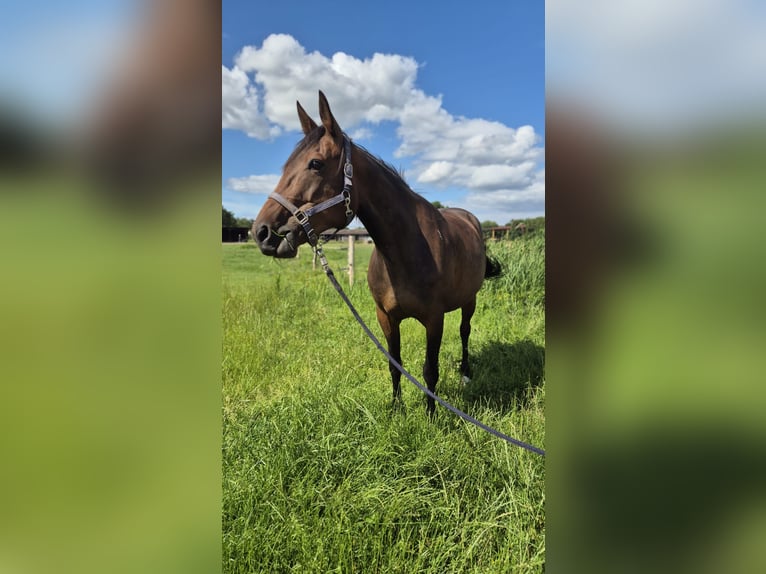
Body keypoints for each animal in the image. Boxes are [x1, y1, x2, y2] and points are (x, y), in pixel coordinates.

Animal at [254, 91, 504, 414]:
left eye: (315, 163)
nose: (261, 232)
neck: (407, 252)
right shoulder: (385, 316)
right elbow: (394, 364)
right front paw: (396, 408)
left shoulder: (434, 319)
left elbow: (430, 370)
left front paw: (431, 415)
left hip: (469, 300)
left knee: (464, 331)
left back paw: (465, 373)